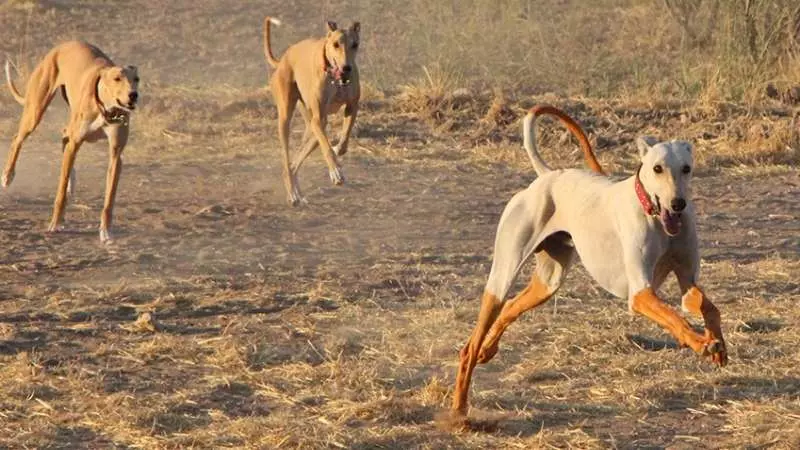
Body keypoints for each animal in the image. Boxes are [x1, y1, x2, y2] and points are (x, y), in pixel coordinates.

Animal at [4, 40, 140, 243]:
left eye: (136, 79)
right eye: (117, 79)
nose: (134, 95)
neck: (105, 108)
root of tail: (64, 44)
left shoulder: (116, 155)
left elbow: (109, 200)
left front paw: (105, 231)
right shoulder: (76, 143)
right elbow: (60, 194)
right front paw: (55, 224)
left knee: (64, 135)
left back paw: (70, 181)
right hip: (35, 111)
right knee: (18, 139)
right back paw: (7, 175)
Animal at [264, 15, 360, 206]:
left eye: (355, 44)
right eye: (336, 44)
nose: (347, 68)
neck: (335, 79)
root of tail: (283, 58)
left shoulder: (352, 107)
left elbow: (344, 141)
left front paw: (338, 149)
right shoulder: (318, 118)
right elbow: (327, 149)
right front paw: (335, 172)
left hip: (311, 129)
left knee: (294, 163)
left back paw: (297, 192)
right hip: (287, 119)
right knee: (287, 161)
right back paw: (292, 195)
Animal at [446, 104, 728, 428]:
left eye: (686, 168)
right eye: (657, 168)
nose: (678, 203)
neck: (655, 217)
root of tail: (548, 176)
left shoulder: (687, 280)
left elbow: (706, 306)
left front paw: (717, 344)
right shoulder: (640, 294)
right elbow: (675, 318)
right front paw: (700, 343)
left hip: (548, 283)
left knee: (509, 309)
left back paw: (488, 350)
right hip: (502, 276)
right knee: (472, 342)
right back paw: (459, 408)